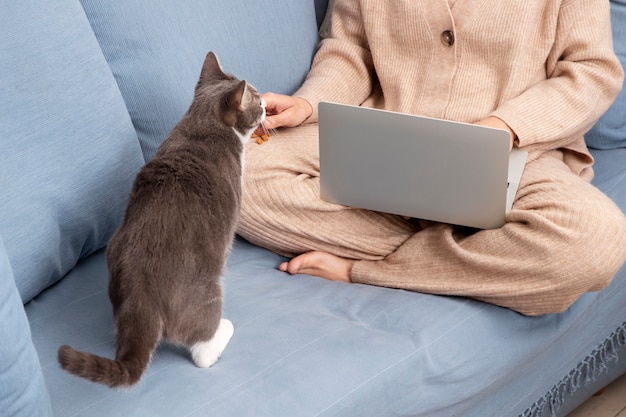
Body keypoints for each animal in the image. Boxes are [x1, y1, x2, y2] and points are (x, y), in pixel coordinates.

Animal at [57, 51, 264, 386]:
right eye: (257, 101)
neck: (201, 126)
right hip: (206, 289)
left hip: (116, 252)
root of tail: (141, 298)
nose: (269, 103)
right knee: (201, 351)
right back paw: (223, 330)